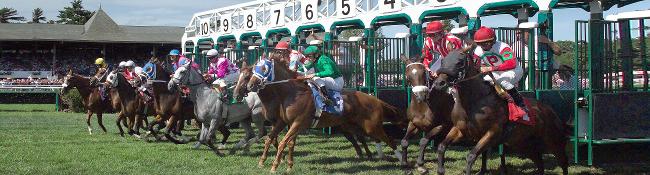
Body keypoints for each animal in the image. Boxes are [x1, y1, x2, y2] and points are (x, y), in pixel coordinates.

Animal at [235, 58, 402, 173]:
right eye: (253, 70)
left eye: (264, 68)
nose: (249, 86)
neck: (291, 93)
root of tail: (375, 99)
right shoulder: (283, 122)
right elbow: (273, 140)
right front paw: (272, 163)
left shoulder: (297, 123)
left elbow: (283, 142)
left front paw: (275, 166)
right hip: (352, 126)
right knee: (366, 139)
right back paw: (370, 156)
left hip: (371, 126)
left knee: (390, 139)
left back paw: (402, 160)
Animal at [430, 48, 568, 175]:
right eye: (442, 61)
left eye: (459, 62)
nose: (439, 83)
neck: (474, 101)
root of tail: (549, 109)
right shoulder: (460, 129)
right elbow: (441, 147)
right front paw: (440, 170)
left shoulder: (493, 132)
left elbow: (471, 156)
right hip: (522, 143)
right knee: (539, 162)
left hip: (553, 141)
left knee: (563, 162)